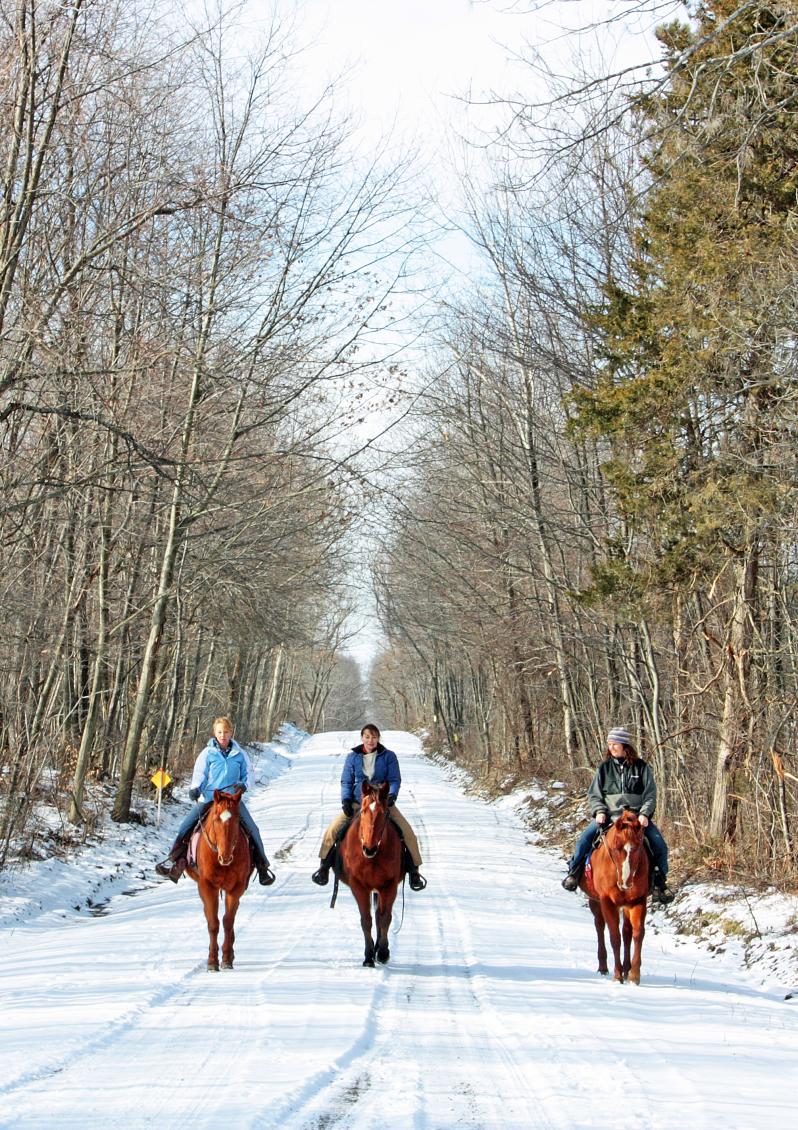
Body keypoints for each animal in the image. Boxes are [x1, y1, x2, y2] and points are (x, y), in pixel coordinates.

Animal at [185, 786, 249, 971]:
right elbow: (213, 923)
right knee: (208, 915)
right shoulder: (207, 886)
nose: (225, 857)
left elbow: (228, 921)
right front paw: (212, 961)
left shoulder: (236, 887)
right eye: (215, 820)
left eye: (237, 820)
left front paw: (226, 958)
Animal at [336, 781, 404, 967]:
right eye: (363, 811)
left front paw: (383, 952)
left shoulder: (389, 886)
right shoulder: (359, 886)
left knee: (380, 916)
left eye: (384, 813)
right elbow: (366, 920)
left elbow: (385, 918)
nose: (369, 848)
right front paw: (368, 956)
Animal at [574, 813, 651, 980]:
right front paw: (617, 974)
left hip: (626, 905)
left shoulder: (638, 901)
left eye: (637, 848)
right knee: (600, 926)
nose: (626, 883)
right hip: (595, 901)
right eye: (616, 848)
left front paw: (634, 975)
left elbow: (637, 934)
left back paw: (627, 969)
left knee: (627, 932)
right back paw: (603, 967)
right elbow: (615, 937)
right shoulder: (607, 902)